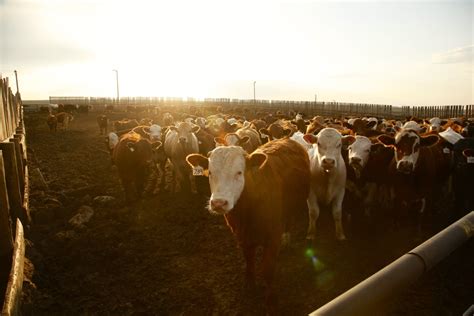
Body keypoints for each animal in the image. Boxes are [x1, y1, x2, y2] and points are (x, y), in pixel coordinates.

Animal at [185, 138, 312, 314]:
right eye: (210, 172)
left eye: (239, 172)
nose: (218, 203)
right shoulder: (243, 237)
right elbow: (249, 262)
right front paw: (250, 286)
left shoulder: (273, 236)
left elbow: (267, 269)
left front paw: (271, 301)